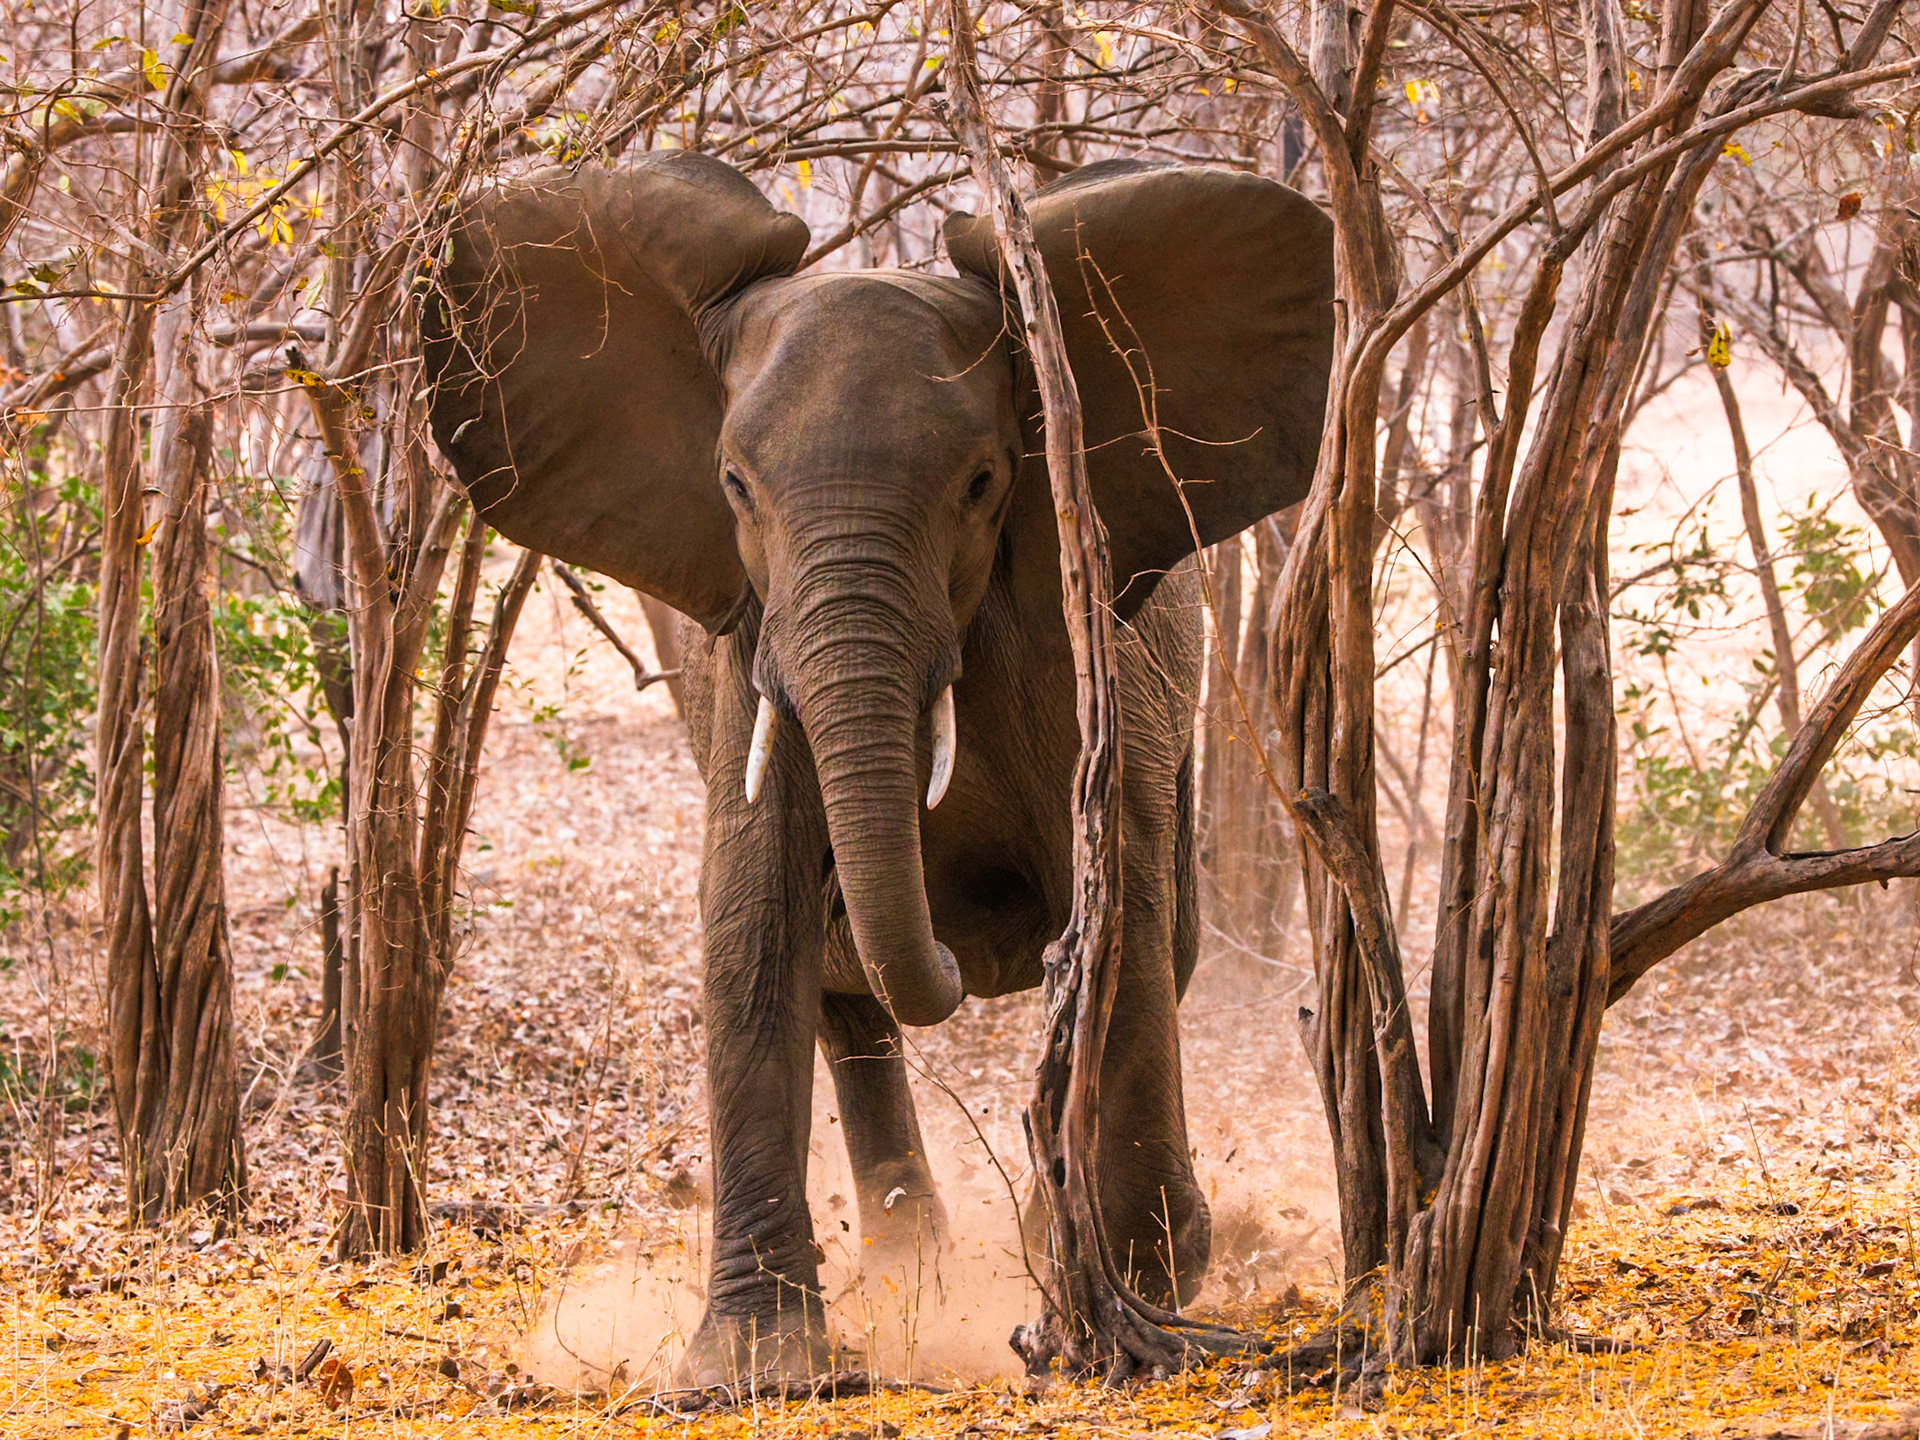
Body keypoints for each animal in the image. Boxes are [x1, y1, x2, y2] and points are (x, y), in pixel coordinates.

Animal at [422, 150, 1333, 1382]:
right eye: (734, 485)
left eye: (986, 483)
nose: (956, 944)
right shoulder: (745, 650)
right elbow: (751, 906)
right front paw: (750, 1371)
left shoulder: (1084, 643)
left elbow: (1121, 900)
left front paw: (1146, 1298)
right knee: (845, 1006)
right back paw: (920, 1271)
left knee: (1162, 936)